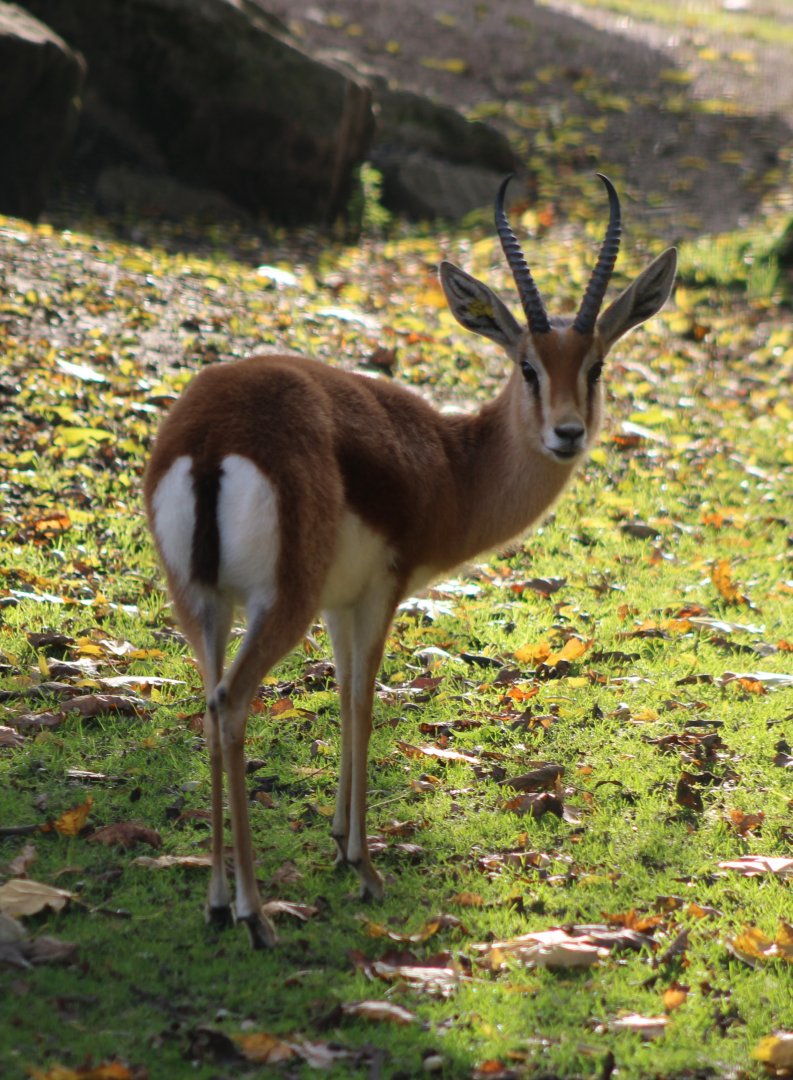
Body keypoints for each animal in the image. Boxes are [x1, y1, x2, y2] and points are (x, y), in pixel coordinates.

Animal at [144, 174, 677, 947]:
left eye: (595, 365)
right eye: (527, 367)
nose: (567, 433)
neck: (451, 466)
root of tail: (214, 435)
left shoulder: (339, 604)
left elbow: (340, 696)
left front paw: (340, 840)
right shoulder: (381, 594)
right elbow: (365, 705)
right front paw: (363, 864)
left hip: (202, 604)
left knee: (208, 703)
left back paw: (216, 900)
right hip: (279, 602)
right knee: (231, 702)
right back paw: (253, 914)